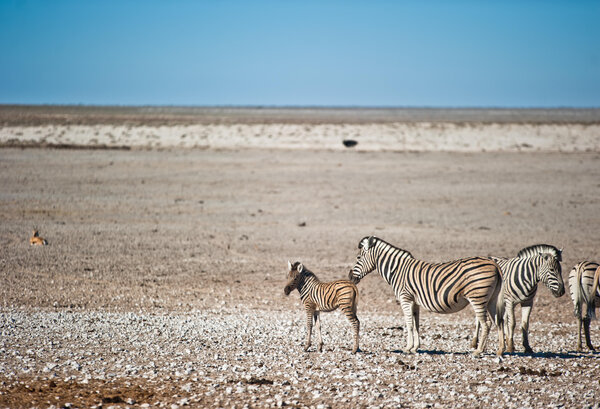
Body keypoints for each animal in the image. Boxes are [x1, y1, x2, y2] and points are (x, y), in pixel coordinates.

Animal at [346, 236, 502, 354]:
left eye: (358, 257)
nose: (350, 277)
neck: (397, 270)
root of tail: (493, 264)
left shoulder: (405, 298)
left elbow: (409, 324)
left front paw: (407, 348)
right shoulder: (415, 302)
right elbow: (416, 324)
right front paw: (415, 347)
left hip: (478, 297)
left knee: (486, 323)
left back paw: (479, 351)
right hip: (491, 299)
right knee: (498, 321)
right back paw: (500, 351)